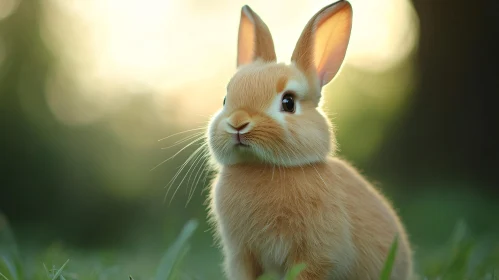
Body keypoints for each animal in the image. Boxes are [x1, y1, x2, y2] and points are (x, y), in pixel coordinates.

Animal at [205, 1, 412, 278]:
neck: (262, 167)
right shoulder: (242, 255)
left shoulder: (317, 254)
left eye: (288, 102)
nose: (237, 123)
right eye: (225, 100)